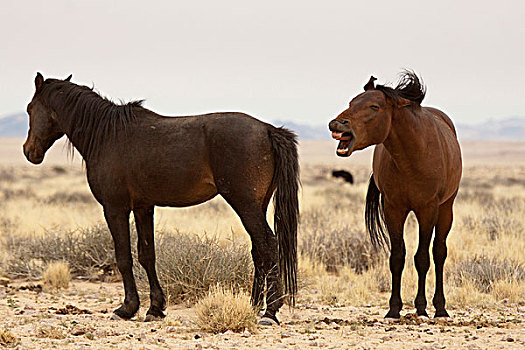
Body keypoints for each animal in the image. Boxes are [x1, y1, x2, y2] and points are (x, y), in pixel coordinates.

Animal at [23, 72, 298, 324]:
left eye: (29, 109)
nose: (29, 152)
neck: (107, 135)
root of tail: (268, 130)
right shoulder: (143, 207)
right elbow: (147, 255)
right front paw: (155, 308)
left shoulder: (115, 208)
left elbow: (123, 257)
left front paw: (127, 308)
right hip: (257, 205)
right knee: (258, 250)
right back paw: (253, 305)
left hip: (245, 204)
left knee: (268, 245)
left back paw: (270, 312)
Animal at [330, 72, 460, 318]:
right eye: (351, 103)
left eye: (374, 106)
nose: (336, 123)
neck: (412, 157)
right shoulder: (393, 209)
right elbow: (397, 257)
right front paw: (393, 308)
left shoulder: (427, 210)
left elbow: (422, 258)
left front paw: (421, 307)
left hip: (446, 209)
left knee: (439, 252)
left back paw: (440, 308)